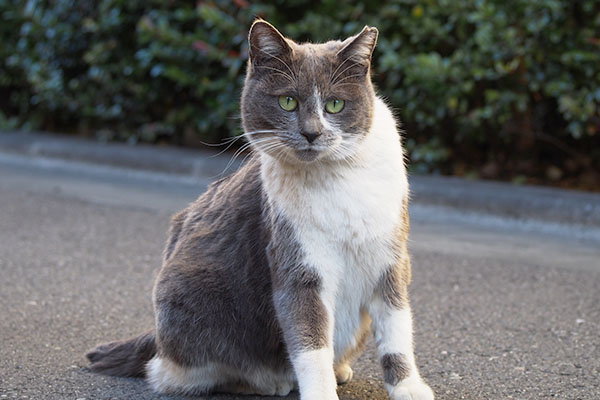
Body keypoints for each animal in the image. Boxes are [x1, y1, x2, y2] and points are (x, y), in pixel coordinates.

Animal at [86, 19, 434, 400]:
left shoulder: (391, 257)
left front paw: (408, 387)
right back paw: (271, 381)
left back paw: (338, 368)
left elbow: (397, 330)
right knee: (172, 373)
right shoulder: (296, 262)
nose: (311, 132)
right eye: (287, 101)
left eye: (335, 105)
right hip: (186, 297)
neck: (337, 179)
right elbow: (310, 343)